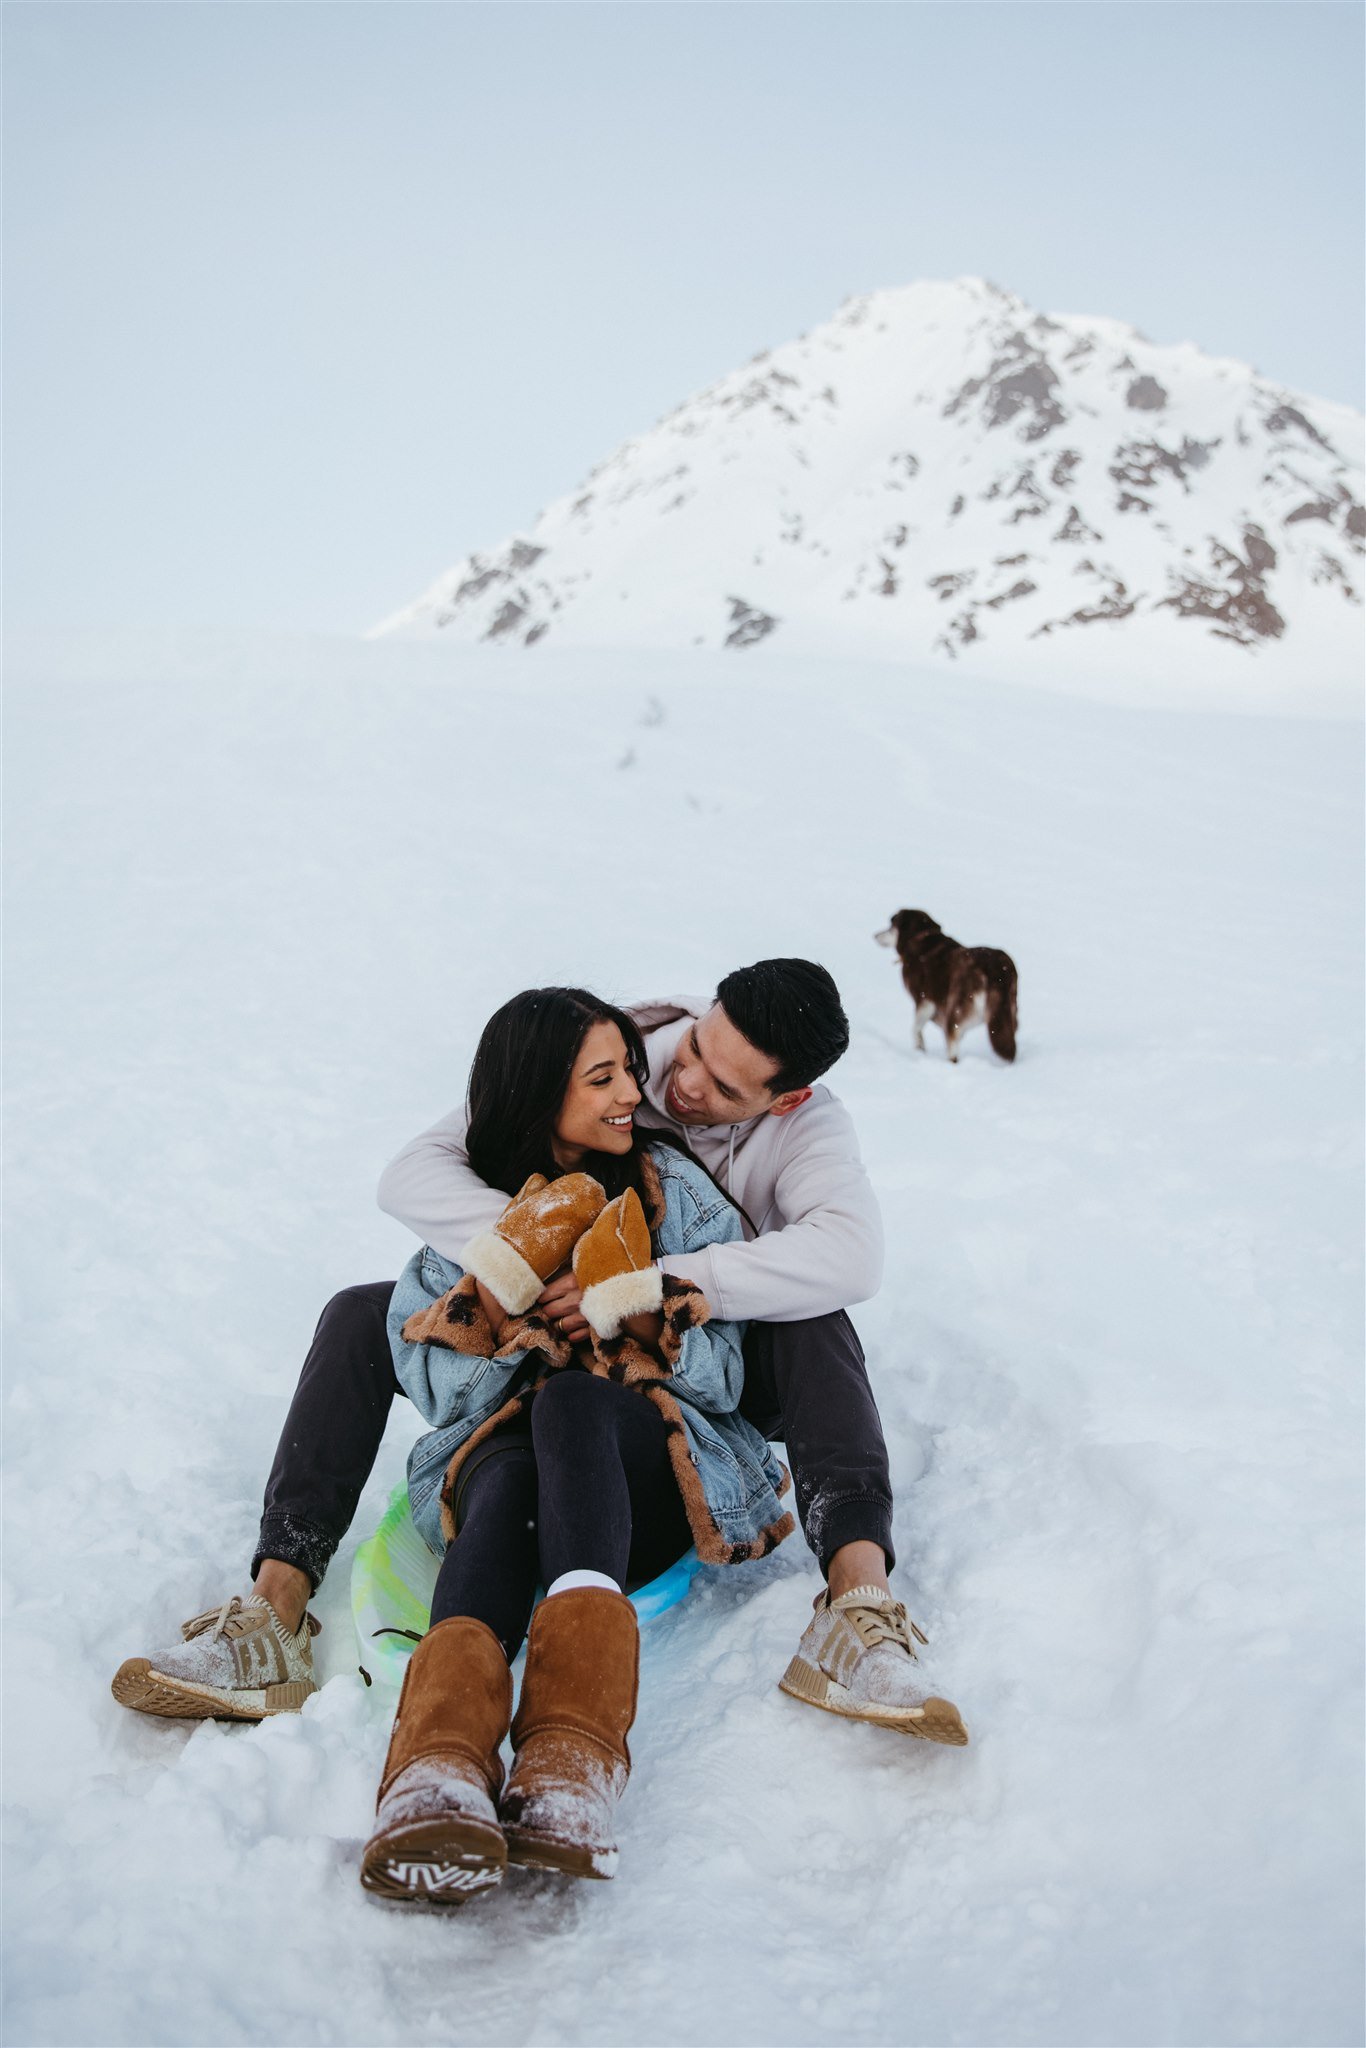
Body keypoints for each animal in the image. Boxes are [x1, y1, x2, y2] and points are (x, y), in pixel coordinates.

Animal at [876, 909, 1015, 1064]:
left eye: (891, 925)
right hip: (1008, 1012)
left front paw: (919, 1048)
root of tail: (994, 969)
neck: (920, 938)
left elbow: (915, 1028)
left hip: (957, 1009)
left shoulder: (925, 1000)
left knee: (953, 1039)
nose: (875, 935)